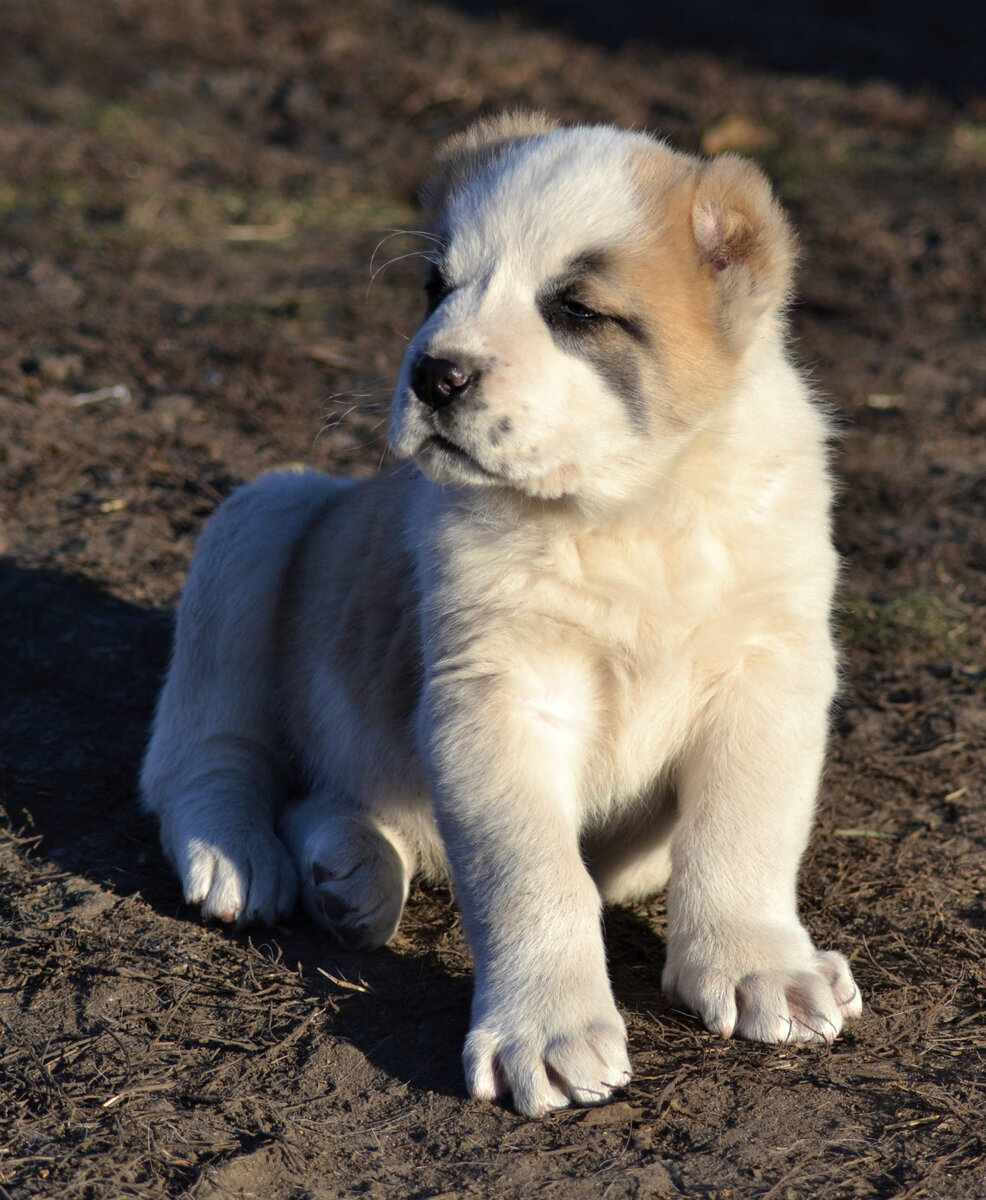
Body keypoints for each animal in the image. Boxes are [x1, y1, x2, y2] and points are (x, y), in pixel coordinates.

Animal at [142, 112, 858, 1113]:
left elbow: (744, 833)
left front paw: (760, 964)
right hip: (263, 517)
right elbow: (532, 876)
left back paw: (351, 871)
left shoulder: (769, 670)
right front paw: (546, 1030)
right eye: (436, 288)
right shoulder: (500, 699)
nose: (434, 374)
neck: (627, 511)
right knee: (201, 756)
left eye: (578, 312)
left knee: (334, 796)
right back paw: (240, 853)